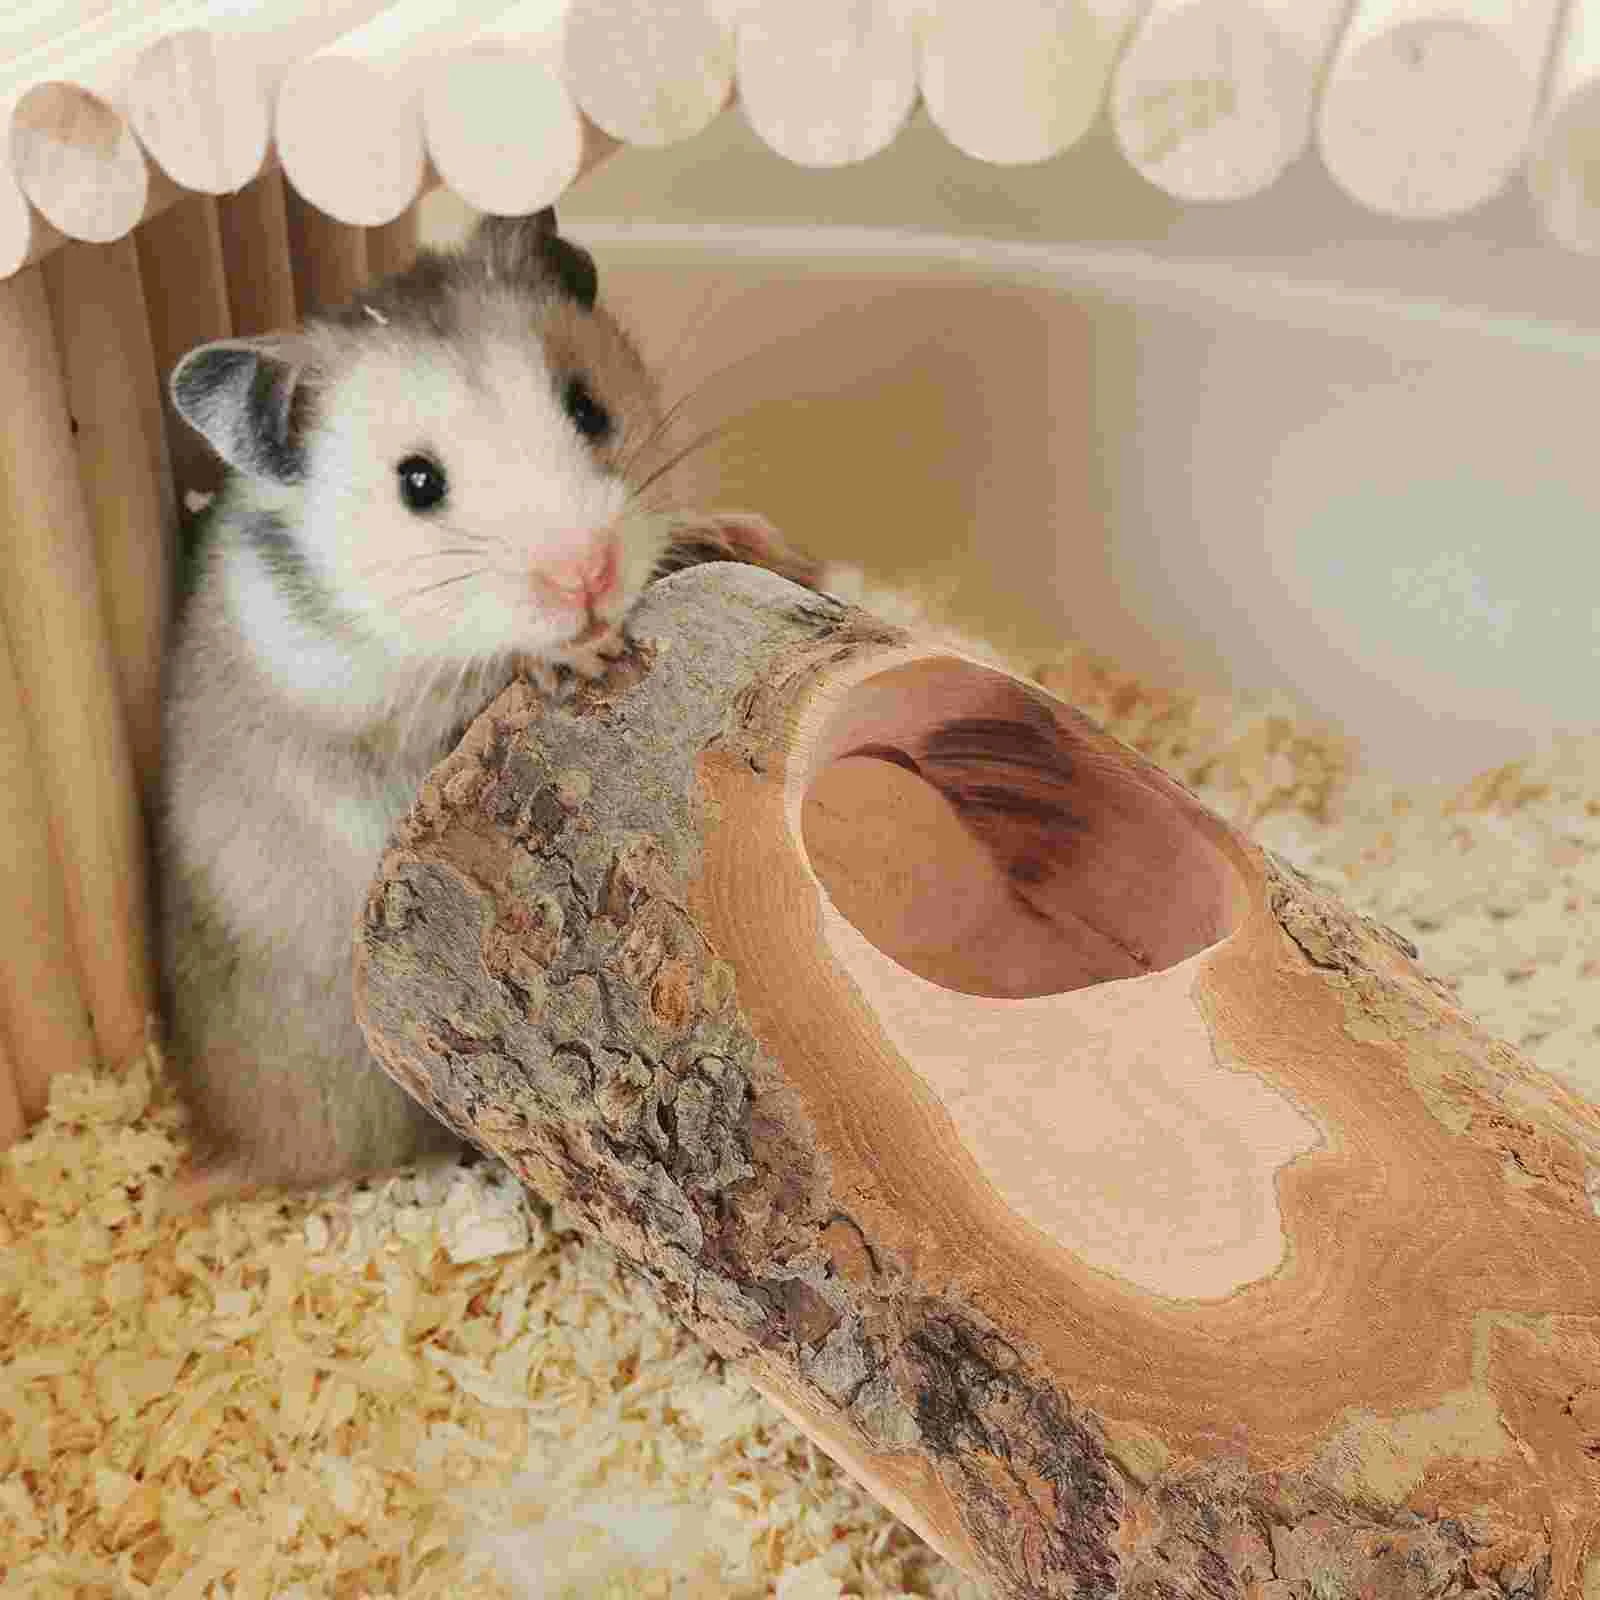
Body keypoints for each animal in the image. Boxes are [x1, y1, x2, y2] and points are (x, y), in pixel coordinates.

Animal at [158, 209, 812, 1210]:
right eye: (417, 484)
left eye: (588, 408)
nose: (590, 578)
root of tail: (225, 1144)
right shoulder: (393, 736)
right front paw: (581, 651)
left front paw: (746, 537)